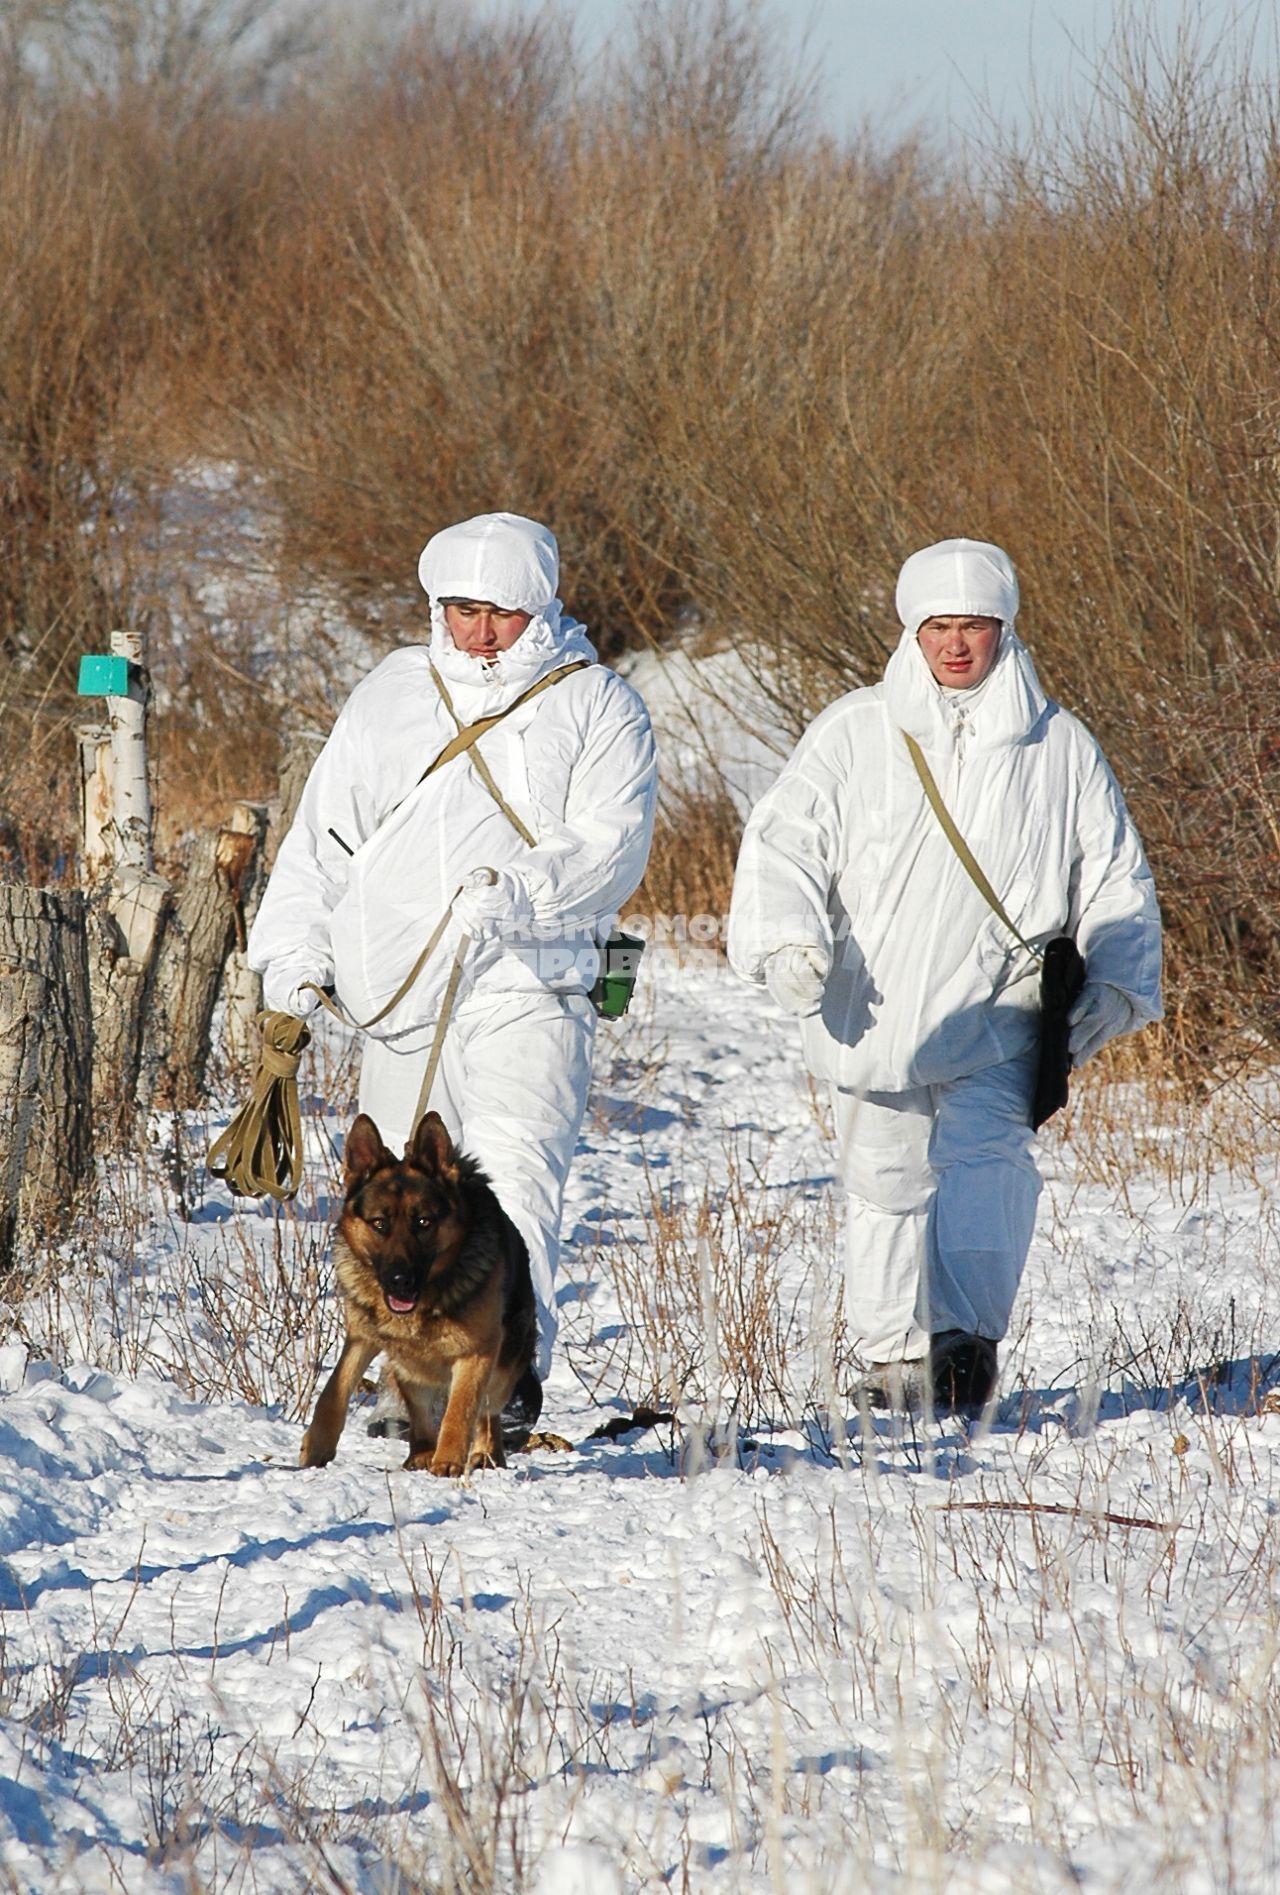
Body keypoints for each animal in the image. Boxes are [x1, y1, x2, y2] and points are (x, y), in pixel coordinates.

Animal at [301, 1106, 534, 1478]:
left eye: (423, 1222)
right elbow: (332, 1393)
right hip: (407, 1366)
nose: (400, 1280)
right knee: (421, 1411)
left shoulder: (477, 1352)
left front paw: (449, 1460)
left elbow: (460, 1410)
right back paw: (421, 1454)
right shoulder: (361, 1338)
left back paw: (486, 1454)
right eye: (379, 1223)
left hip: (501, 1371)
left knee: (487, 1411)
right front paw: (315, 1451)